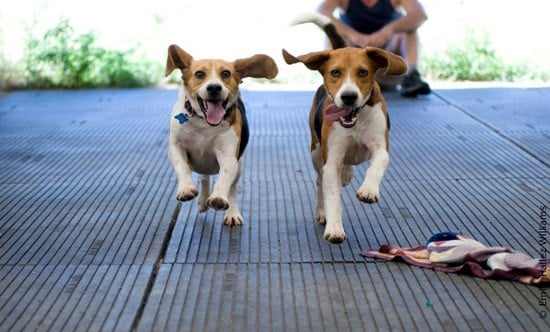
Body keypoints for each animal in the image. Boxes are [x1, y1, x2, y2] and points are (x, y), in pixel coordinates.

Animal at [165, 44, 278, 226]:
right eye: (199, 74)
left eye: (226, 73)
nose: (214, 88)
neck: (204, 125)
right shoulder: (176, 147)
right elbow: (182, 166)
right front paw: (186, 189)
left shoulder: (229, 157)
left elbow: (224, 179)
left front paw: (218, 198)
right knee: (204, 177)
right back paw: (203, 200)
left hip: (239, 165)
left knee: (232, 189)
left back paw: (231, 212)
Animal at [282, 13, 408, 244]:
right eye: (335, 72)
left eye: (363, 72)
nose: (349, 97)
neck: (355, 121)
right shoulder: (331, 161)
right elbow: (333, 198)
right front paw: (334, 228)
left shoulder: (381, 147)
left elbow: (376, 166)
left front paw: (368, 190)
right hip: (316, 153)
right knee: (319, 182)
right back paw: (322, 210)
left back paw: (349, 173)